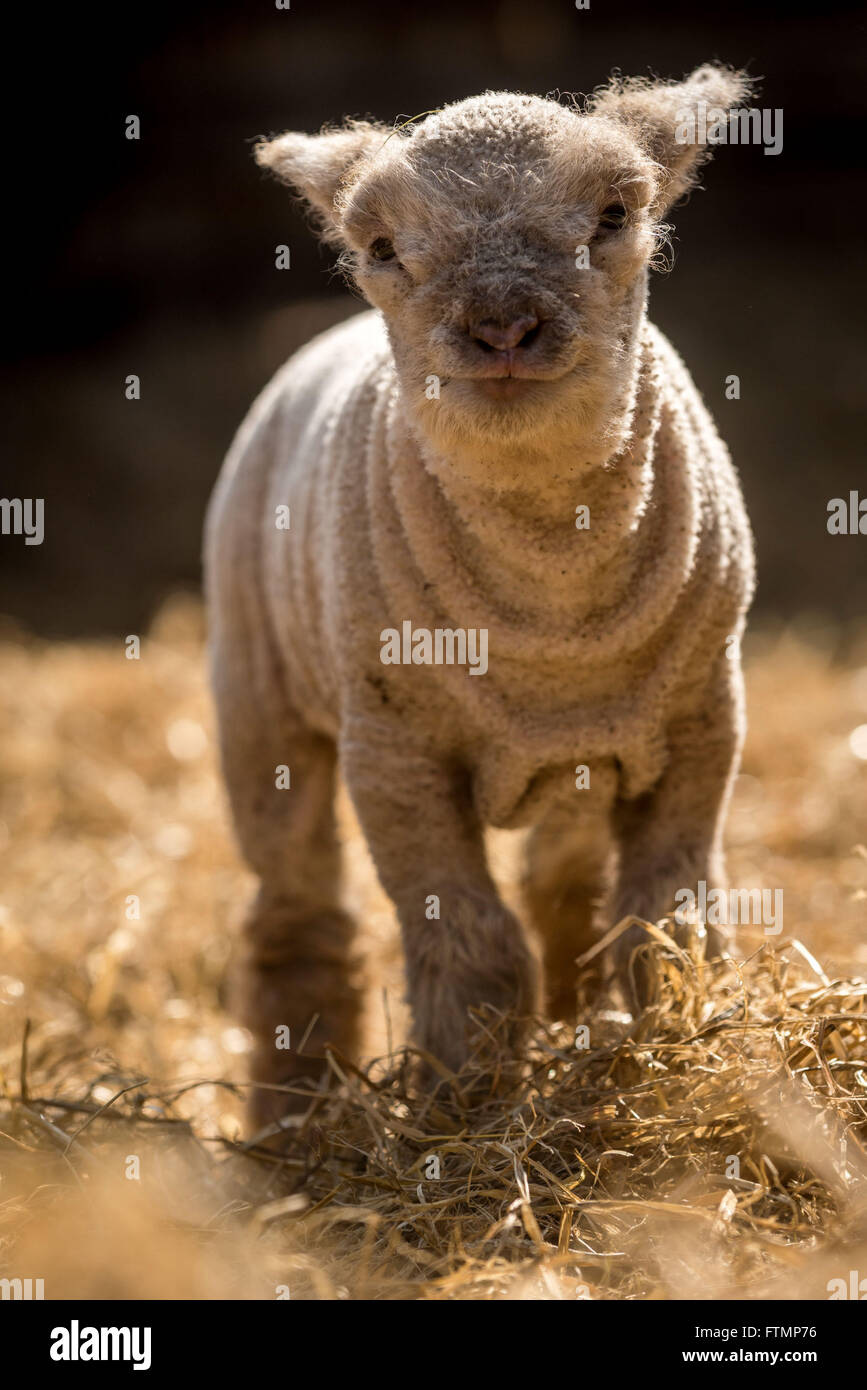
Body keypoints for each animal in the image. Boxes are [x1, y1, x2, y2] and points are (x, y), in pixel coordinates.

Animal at [205, 64, 756, 1126]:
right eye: (381, 246)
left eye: (615, 213)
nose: (501, 327)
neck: (553, 608)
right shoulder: (396, 753)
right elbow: (471, 940)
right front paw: (464, 1098)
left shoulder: (702, 725)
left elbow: (663, 918)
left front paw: (664, 1050)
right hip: (259, 696)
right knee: (293, 908)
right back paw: (296, 1109)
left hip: (591, 755)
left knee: (565, 881)